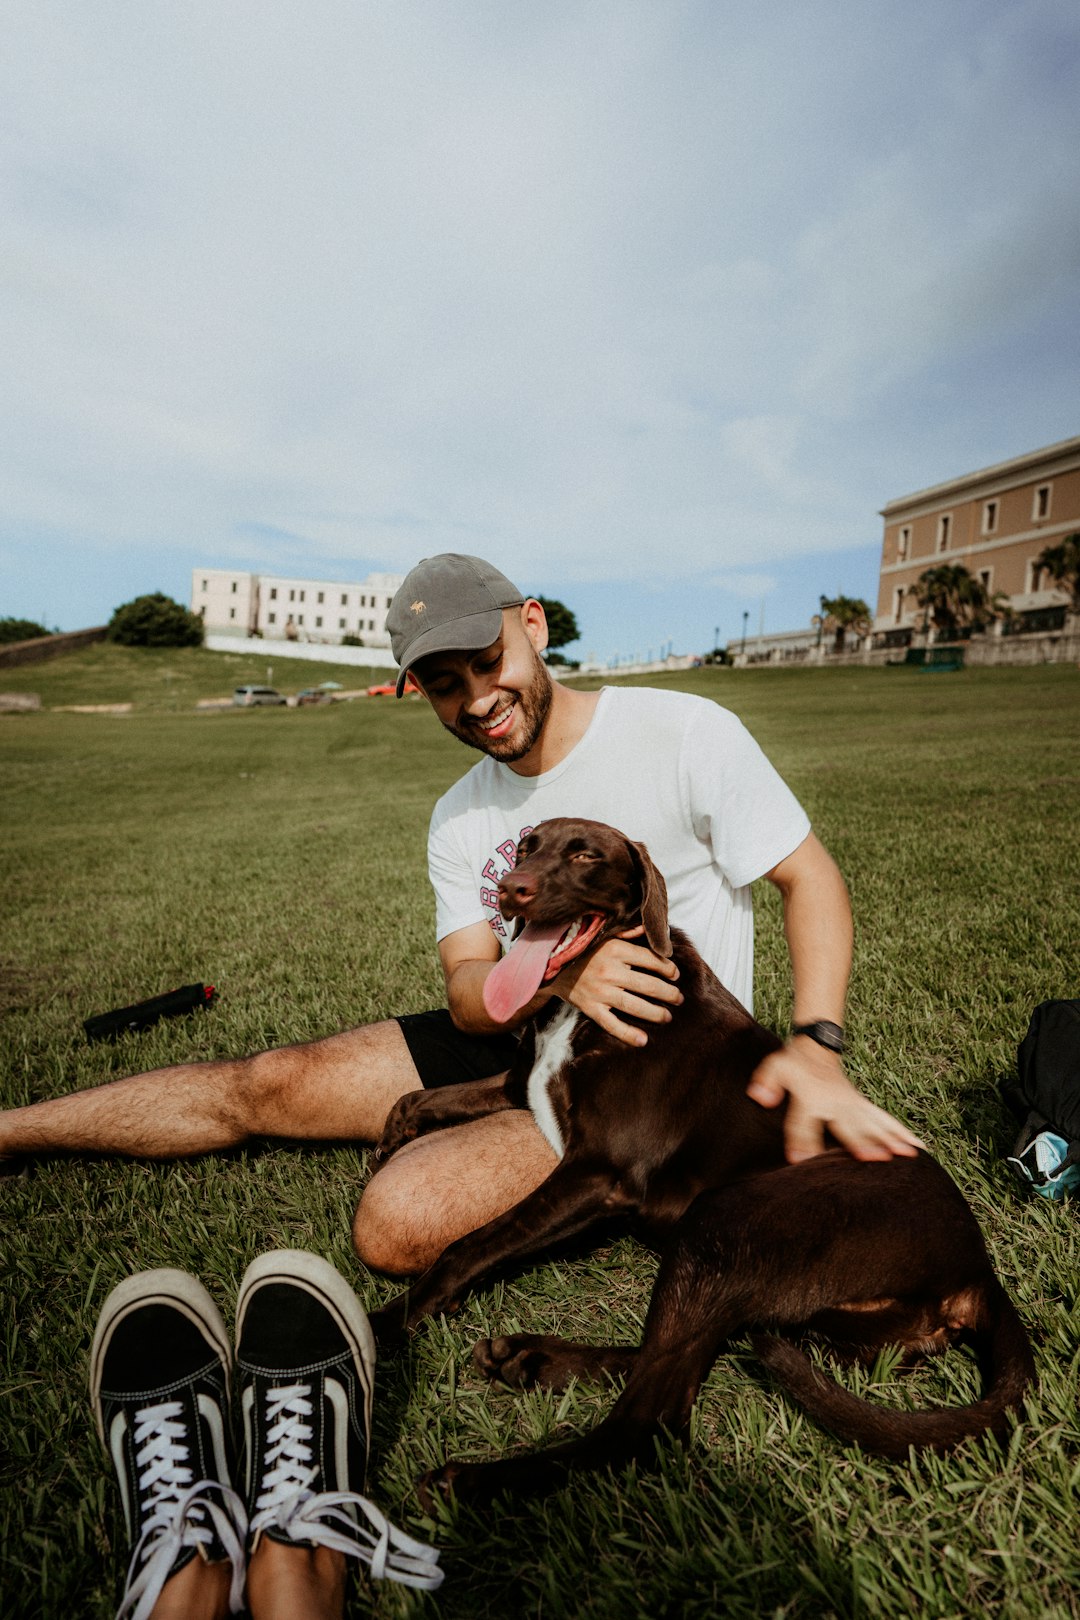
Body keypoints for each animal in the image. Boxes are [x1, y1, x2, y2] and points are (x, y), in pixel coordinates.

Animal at [367, 822, 1036, 1503]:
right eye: (526, 847)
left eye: (584, 855)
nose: (511, 888)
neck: (582, 1002)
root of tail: (977, 1269)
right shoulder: (522, 1085)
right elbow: (424, 1098)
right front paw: (393, 1135)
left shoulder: (597, 1172)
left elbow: (470, 1245)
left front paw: (387, 1321)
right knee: (683, 1359)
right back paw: (532, 1359)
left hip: (727, 1220)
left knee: (644, 1423)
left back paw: (480, 1475)